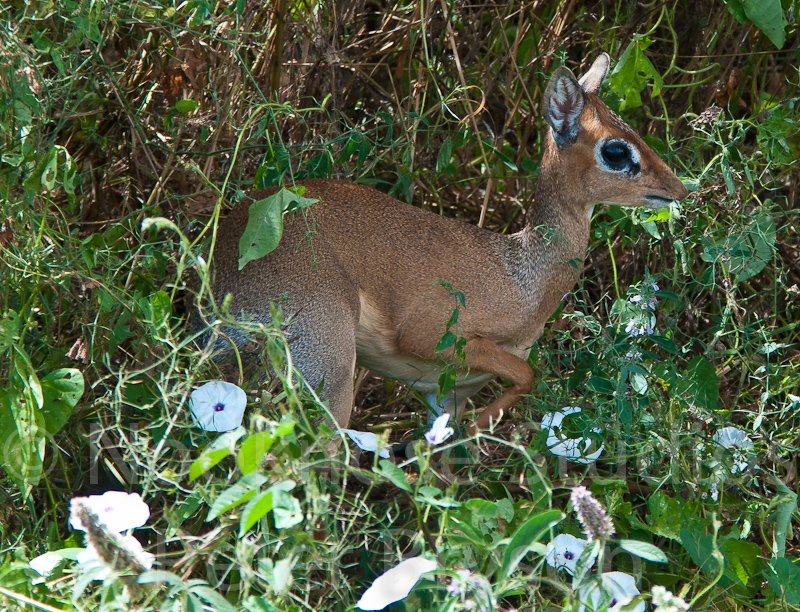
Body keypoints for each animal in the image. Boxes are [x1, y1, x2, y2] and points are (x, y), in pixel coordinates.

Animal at [203, 54, 688, 437]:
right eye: (616, 151)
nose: (679, 188)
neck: (522, 278)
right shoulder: (435, 336)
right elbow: (528, 374)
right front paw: (479, 430)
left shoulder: (448, 395)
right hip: (328, 369)